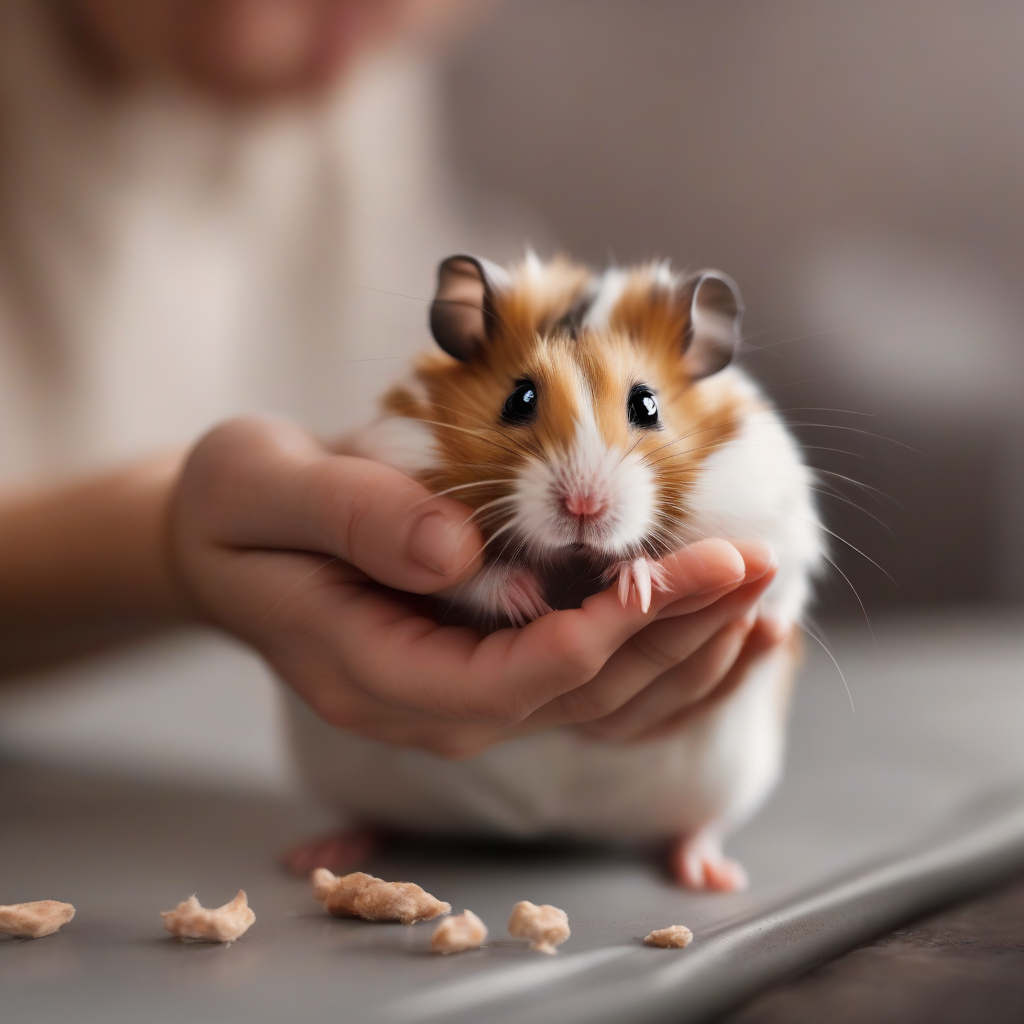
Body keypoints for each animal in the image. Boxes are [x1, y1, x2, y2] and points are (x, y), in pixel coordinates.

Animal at [292, 252, 823, 890]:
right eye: (519, 398)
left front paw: (637, 584)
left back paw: (711, 876)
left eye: (647, 405)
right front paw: (528, 601)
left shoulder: (764, 520)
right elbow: (470, 580)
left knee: (699, 827)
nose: (583, 507)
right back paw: (317, 854)